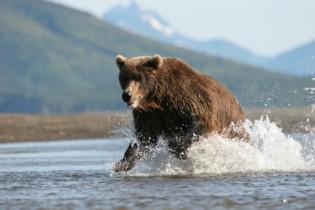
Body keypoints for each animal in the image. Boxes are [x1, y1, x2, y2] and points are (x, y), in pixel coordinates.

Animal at [115, 54, 248, 172]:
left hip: (232, 126)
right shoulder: (150, 114)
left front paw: (179, 149)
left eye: (139, 77)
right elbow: (146, 136)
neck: (158, 97)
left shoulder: (190, 99)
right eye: (125, 77)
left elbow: (199, 123)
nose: (127, 95)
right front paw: (124, 162)